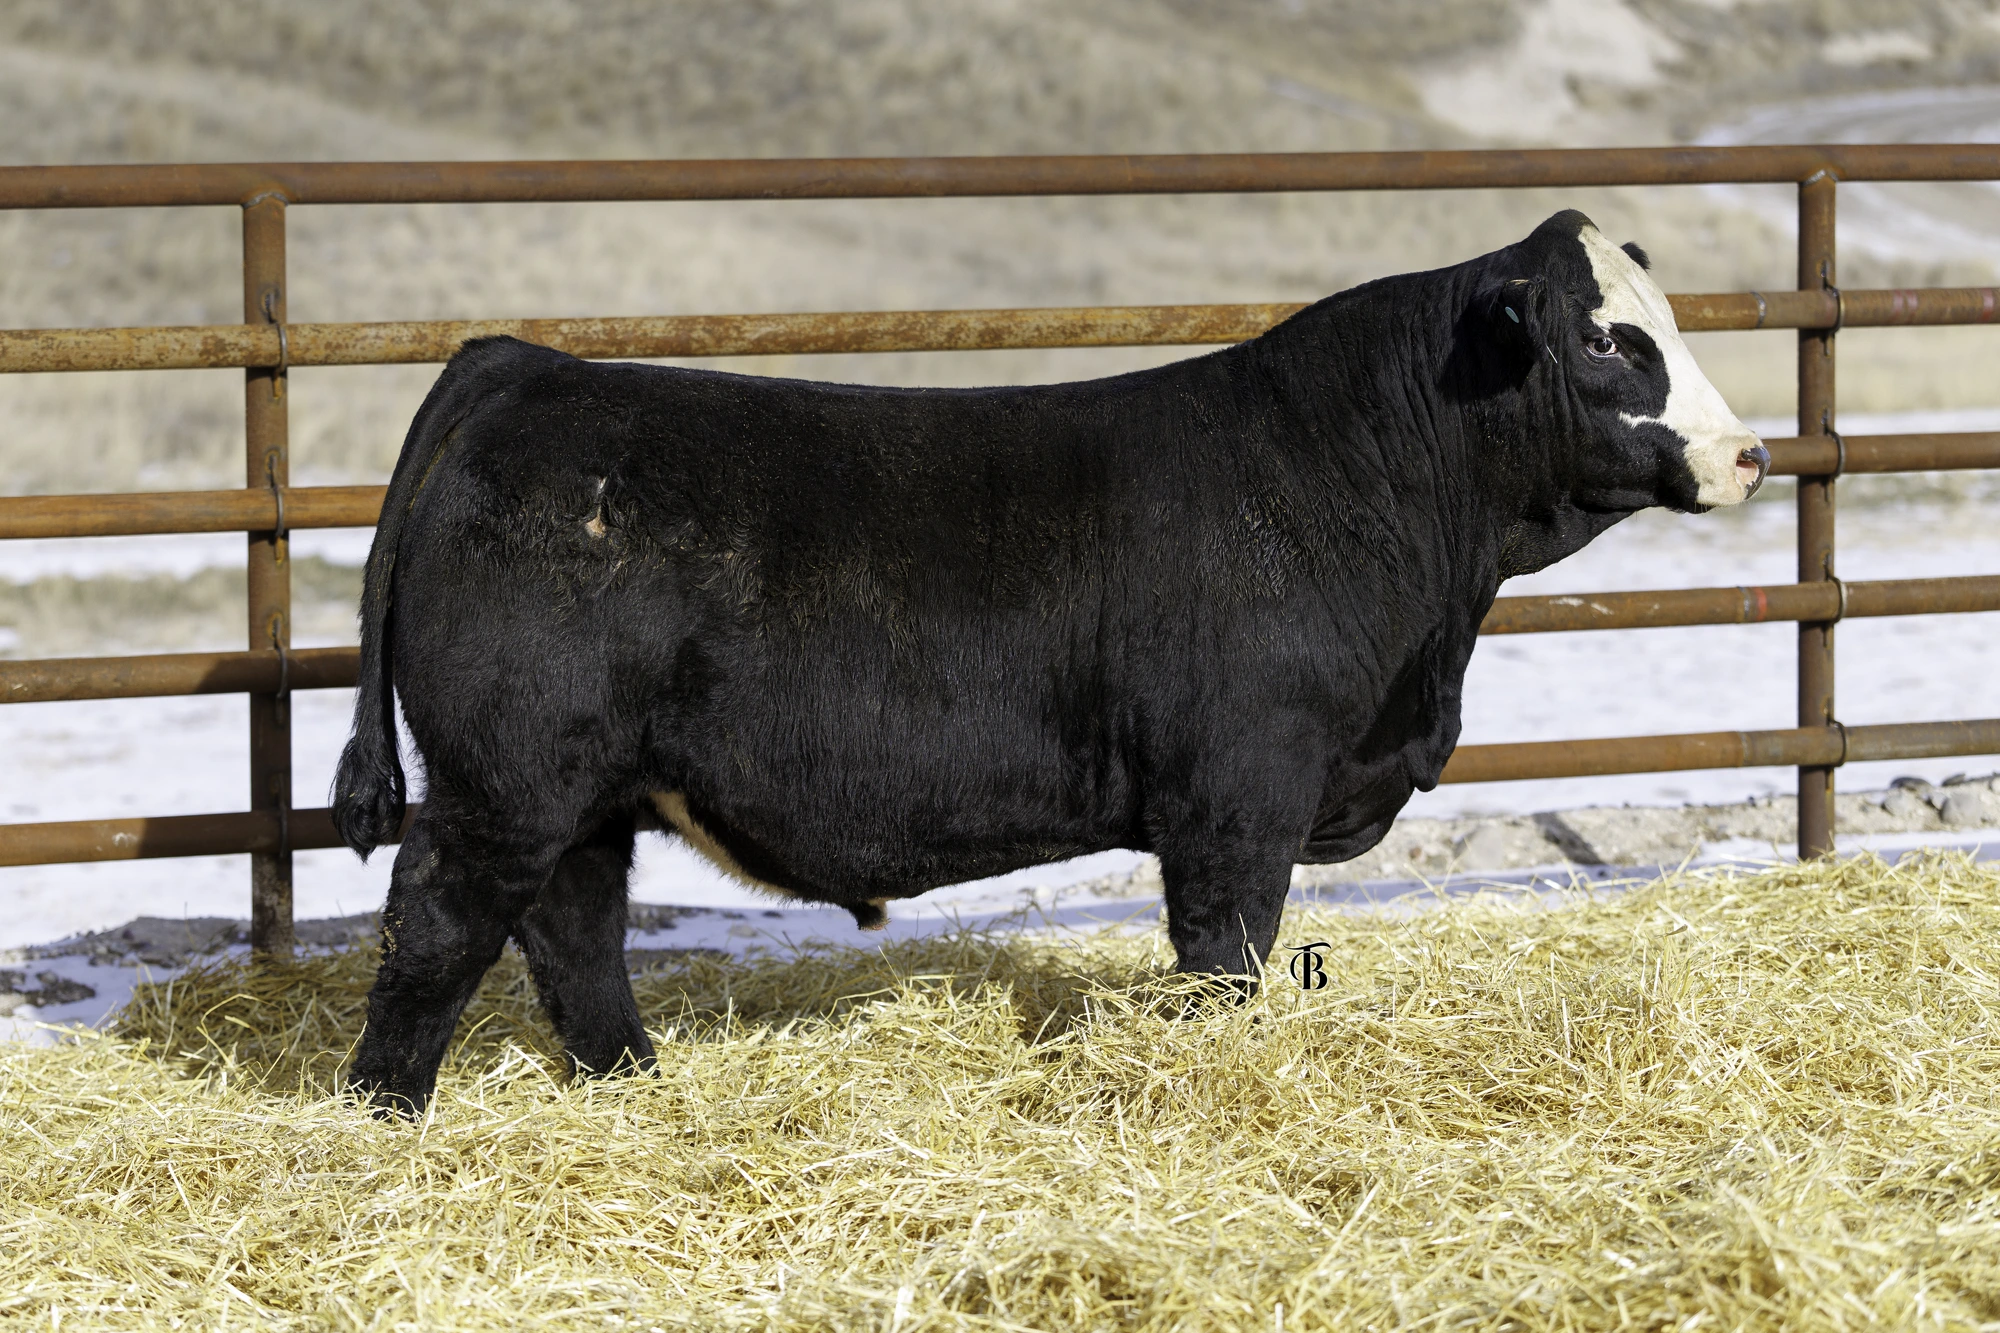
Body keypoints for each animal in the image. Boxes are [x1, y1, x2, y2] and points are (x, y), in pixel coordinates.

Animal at [332, 209, 1767, 1114]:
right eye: (1607, 339)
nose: (1749, 452)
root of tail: (528, 366)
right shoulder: (1240, 789)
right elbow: (1225, 952)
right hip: (507, 779)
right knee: (442, 923)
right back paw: (385, 1114)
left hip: (583, 787)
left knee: (572, 927)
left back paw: (631, 1081)